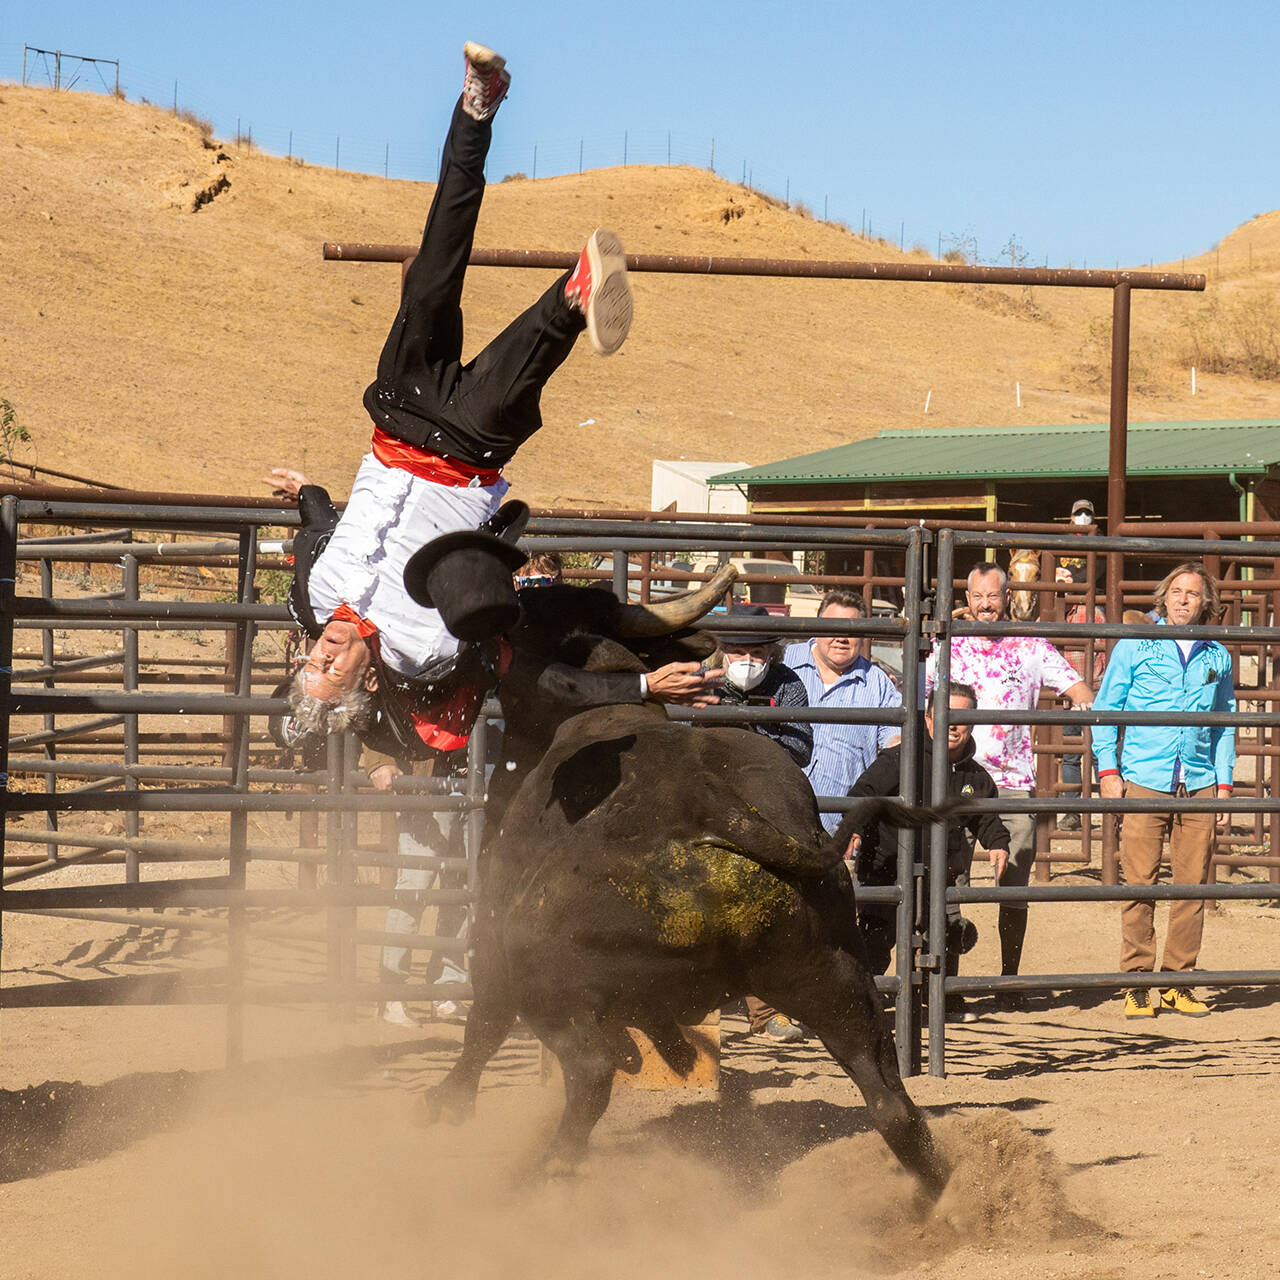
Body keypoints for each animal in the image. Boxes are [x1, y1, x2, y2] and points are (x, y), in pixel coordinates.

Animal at [409, 560, 952, 1198]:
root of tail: (715, 808)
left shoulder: (493, 935)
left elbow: (484, 1023)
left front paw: (446, 1103)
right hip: (834, 975)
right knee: (890, 1100)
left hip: (547, 983)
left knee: (588, 1071)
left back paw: (548, 1170)